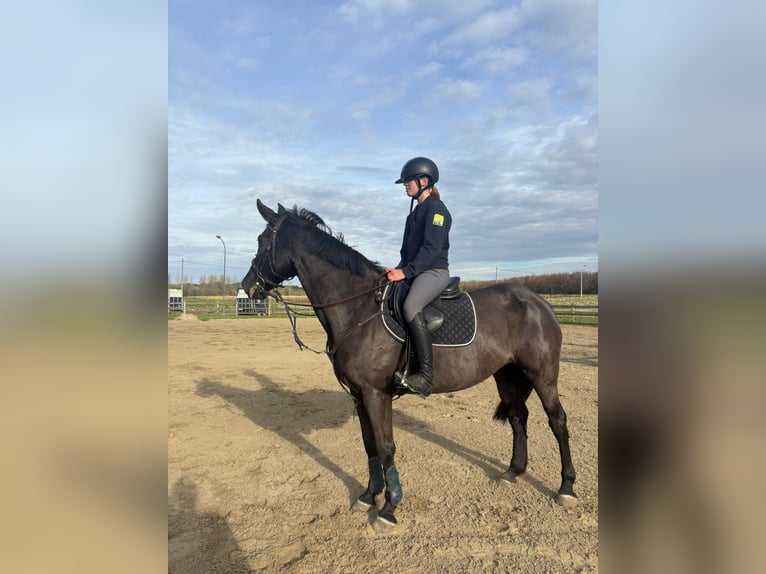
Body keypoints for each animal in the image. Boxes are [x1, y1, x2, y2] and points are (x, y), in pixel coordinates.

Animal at [241, 200, 577, 531]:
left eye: (262, 241)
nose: (248, 286)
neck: (357, 309)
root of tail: (538, 301)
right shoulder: (358, 394)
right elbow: (369, 445)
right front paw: (368, 496)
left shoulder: (376, 393)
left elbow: (386, 446)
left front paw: (389, 509)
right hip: (506, 374)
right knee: (518, 418)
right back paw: (513, 472)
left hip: (542, 374)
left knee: (557, 421)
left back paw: (566, 487)